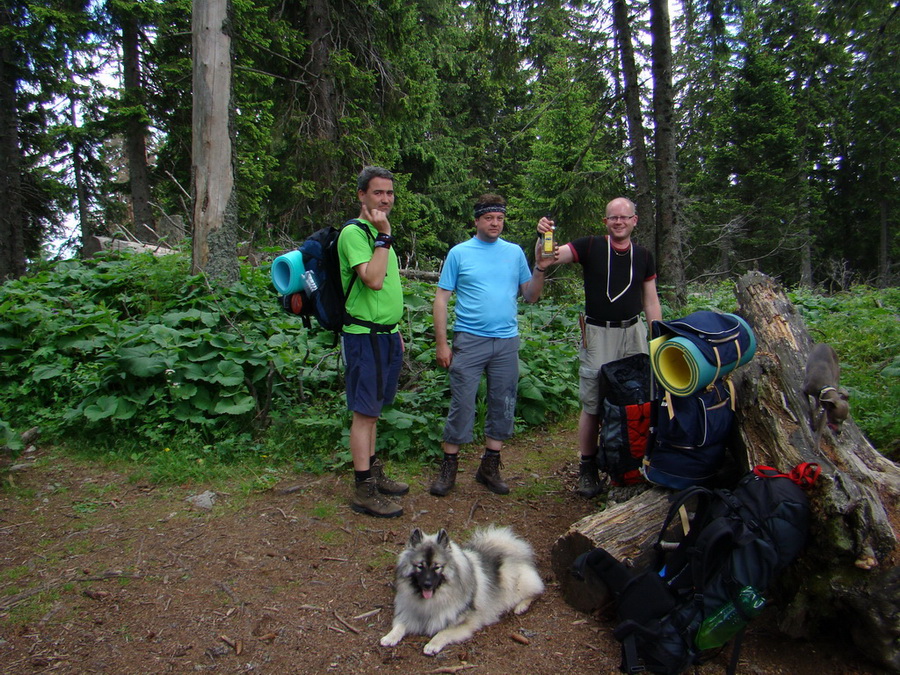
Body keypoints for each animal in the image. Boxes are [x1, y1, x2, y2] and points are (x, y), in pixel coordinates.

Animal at [378, 528, 540, 656]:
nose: (427, 585)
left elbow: (444, 632)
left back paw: (521, 607)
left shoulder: (465, 622)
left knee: (536, 593)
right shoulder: (408, 612)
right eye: (420, 566)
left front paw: (432, 644)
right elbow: (400, 625)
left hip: (514, 583)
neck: (431, 601)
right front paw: (390, 637)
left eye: (437, 567)